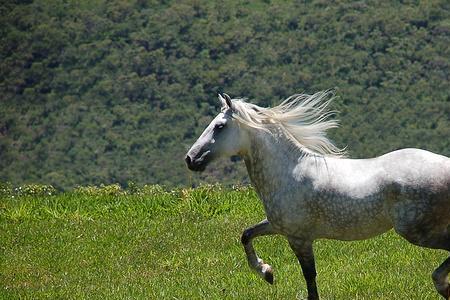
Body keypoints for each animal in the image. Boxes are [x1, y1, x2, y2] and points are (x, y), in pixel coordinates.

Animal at [184, 91, 450, 300]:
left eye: (219, 126)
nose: (190, 159)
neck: (288, 171)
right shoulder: (280, 226)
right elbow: (246, 235)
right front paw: (267, 273)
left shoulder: (299, 238)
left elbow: (310, 278)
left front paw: (268, 273)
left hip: (415, 231)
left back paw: (442, 285)